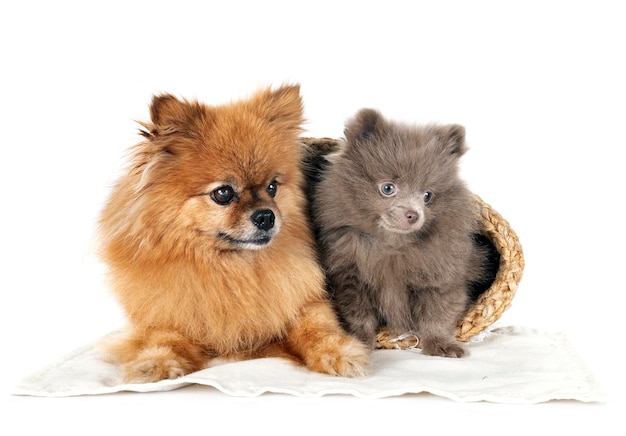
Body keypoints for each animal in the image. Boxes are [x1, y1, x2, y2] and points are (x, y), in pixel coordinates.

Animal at [98, 84, 368, 382]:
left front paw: (338, 352)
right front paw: (155, 363)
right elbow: (164, 338)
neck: (232, 267)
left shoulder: (305, 301)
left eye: (272, 187)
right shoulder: (167, 313)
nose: (266, 216)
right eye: (223, 193)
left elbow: (318, 328)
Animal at [312, 109, 492, 358]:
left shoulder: (441, 277)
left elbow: (437, 315)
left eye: (427, 196)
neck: (392, 246)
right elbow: (358, 315)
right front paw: (360, 340)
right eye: (388, 188)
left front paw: (441, 344)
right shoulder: (350, 276)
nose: (413, 214)